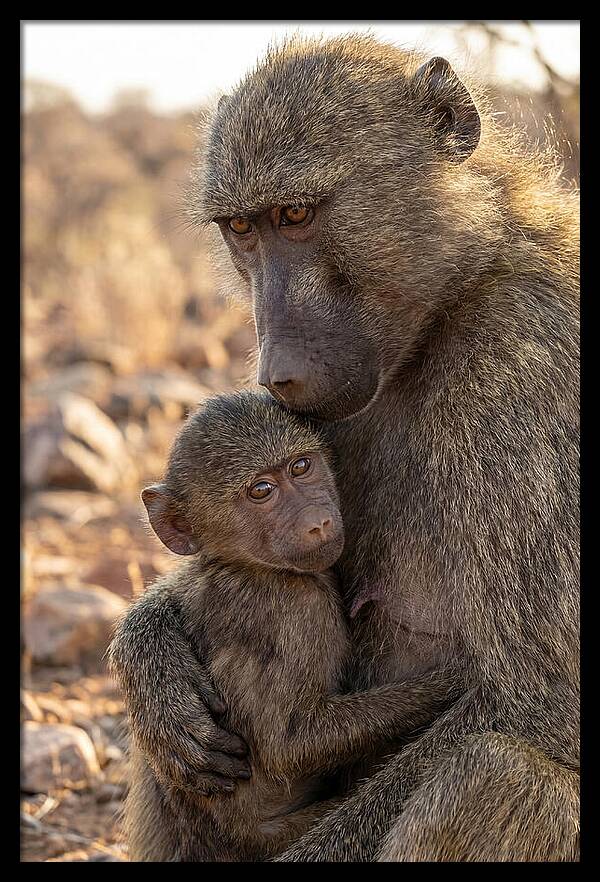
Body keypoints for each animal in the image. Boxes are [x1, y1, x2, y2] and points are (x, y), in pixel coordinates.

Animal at [113, 389, 460, 862]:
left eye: (301, 467)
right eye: (261, 491)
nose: (319, 522)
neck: (246, 566)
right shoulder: (297, 609)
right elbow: (290, 744)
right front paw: (450, 683)